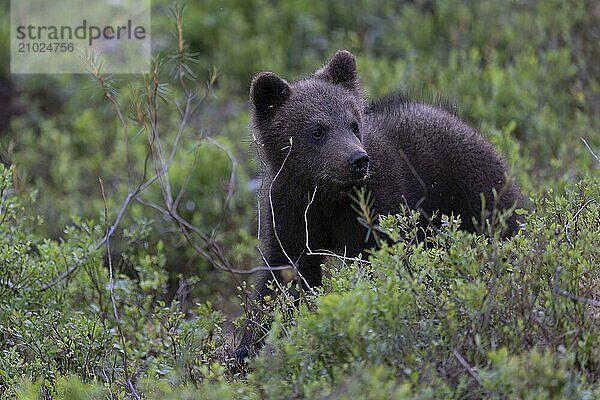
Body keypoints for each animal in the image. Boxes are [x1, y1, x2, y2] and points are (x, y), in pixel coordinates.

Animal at [234, 49, 524, 362]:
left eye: (353, 124)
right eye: (317, 130)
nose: (357, 160)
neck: (326, 195)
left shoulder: (376, 208)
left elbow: (378, 265)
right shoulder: (290, 212)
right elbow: (282, 277)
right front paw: (247, 347)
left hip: (477, 193)